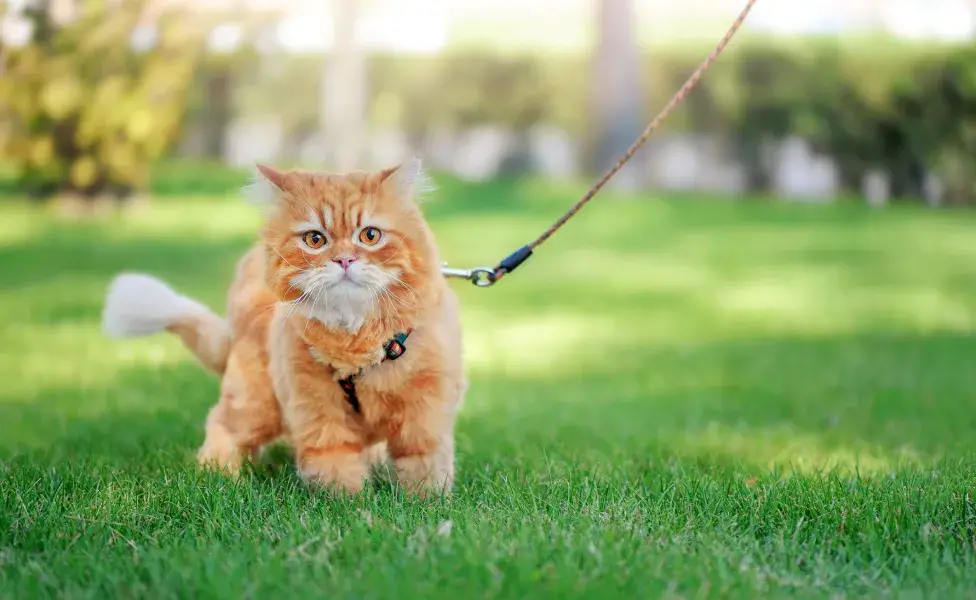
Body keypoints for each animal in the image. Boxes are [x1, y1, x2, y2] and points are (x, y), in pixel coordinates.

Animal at [101, 161, 468, 496]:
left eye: (370, 236)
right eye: (315, 239)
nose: (344, 260)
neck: (357, 337)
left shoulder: (426, 409)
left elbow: (422, 461)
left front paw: (424, 503)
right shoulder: (317, 409)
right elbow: (335, 464)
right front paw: (350, 506)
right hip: (256, 403)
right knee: (222, 426)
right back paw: (221, 477)